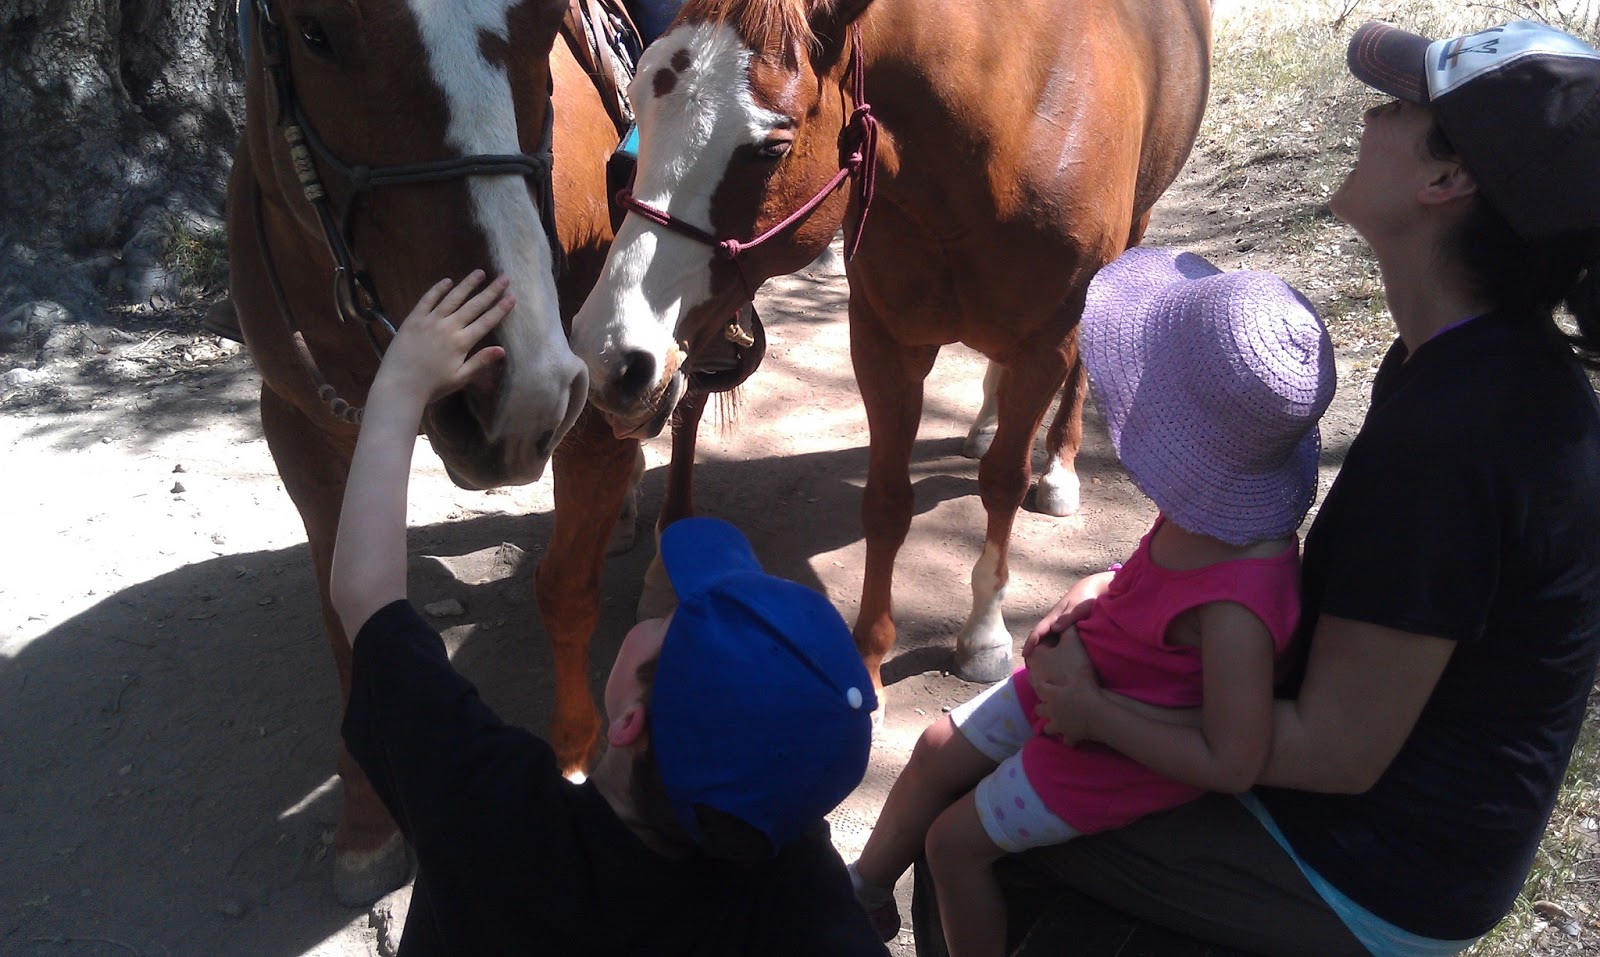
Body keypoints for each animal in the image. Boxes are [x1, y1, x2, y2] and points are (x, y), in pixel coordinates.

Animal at [226, 0, 757, 905]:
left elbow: (564, 590)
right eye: (315, 33)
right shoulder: (300, 428)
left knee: (681, 403)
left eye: (544, 23)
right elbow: (343, 614)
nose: (517, 386)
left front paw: (573, 753)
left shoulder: (594, 405)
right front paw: (365, 825)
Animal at [568, 0, 1212, 695]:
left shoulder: (1047, 344)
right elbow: (886, 501)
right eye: (638, 104)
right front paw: (870, 661)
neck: (1007, 125)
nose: (608, 353)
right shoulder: (885, 342)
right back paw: (983, 421)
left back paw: (1061, 468)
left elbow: (1002, 483)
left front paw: (984, 636)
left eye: (770, 148)